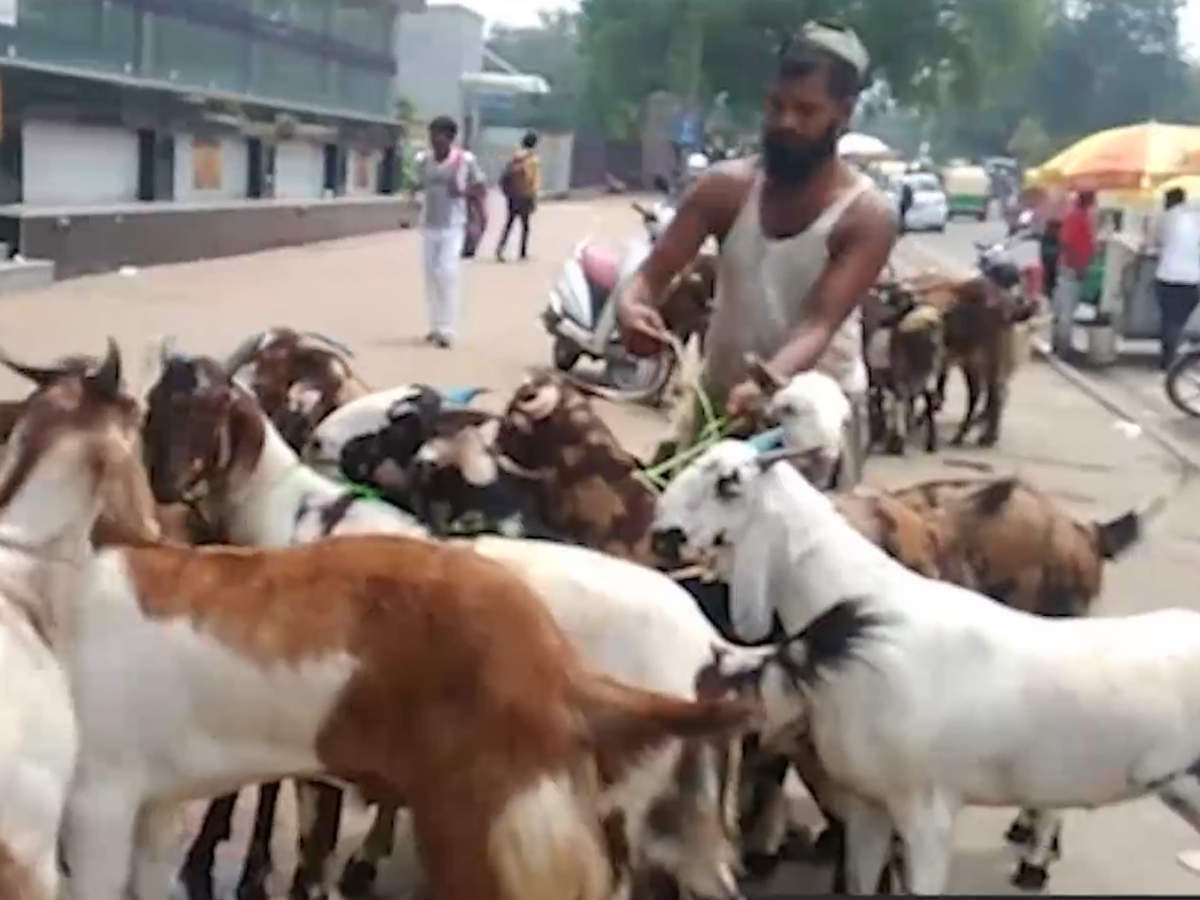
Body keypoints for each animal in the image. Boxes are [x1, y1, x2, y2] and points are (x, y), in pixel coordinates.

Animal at [657, 436, 1200, 897]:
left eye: (728, 482)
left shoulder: (927, 812)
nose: (663, 535)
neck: (870, 612)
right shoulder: (869, 804)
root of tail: (1086, 533)